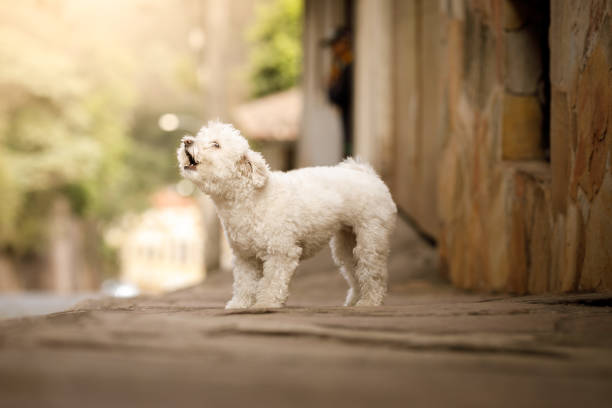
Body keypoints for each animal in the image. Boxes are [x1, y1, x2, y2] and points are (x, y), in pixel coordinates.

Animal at [177, 121, 396, 310]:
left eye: (216, 144)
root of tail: (368, 175)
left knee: (373, 273)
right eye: (199, 137)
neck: (250, 198)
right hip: (346, 244)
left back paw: (369, 301)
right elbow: (244, 284)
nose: (187, 141)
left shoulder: (281, 252)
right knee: (354, 270)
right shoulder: (245, 257)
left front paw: (265, 303)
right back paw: (354, 300)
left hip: (370, 239)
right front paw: (240, 304)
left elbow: (271, 281)